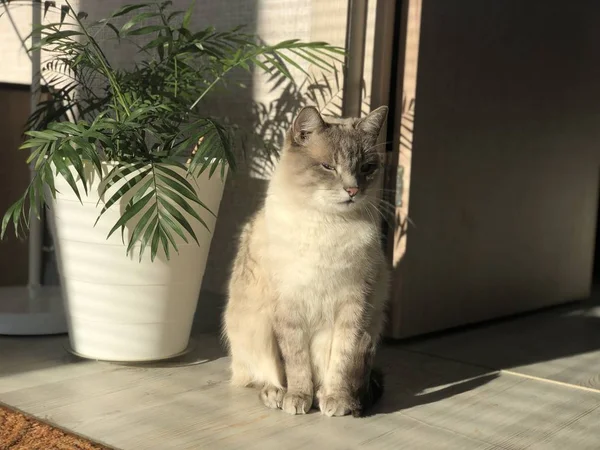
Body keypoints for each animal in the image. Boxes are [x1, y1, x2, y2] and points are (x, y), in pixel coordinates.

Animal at [224, 105, 390, 418]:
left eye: (366, 168)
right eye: (328, 167)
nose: (353, 191)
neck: (328, 224)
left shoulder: (354, 306)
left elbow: (341, 361)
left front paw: (336, 400)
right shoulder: (289, 307)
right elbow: (296, 364)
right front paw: (298, 398)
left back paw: (328, 397)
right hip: (255, 328)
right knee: (259, 375)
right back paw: (276, 394)